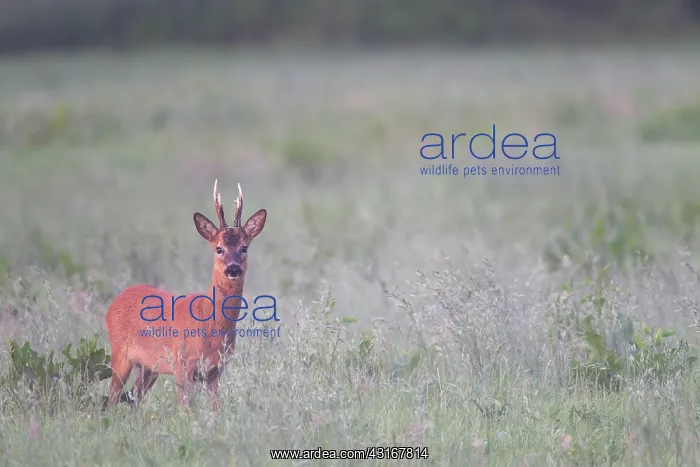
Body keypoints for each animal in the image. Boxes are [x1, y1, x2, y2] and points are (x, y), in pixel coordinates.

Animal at [105, 179, 267, 411]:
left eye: (244, 247)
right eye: (219, 248)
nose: (233, 268)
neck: (209, 324)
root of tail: (116, 301)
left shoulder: (215, 371)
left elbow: (216, 410)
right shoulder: (181, 364)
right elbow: (185, 411)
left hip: (148, 367)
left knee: (135, 397)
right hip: (120, 354)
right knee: (112, 397)